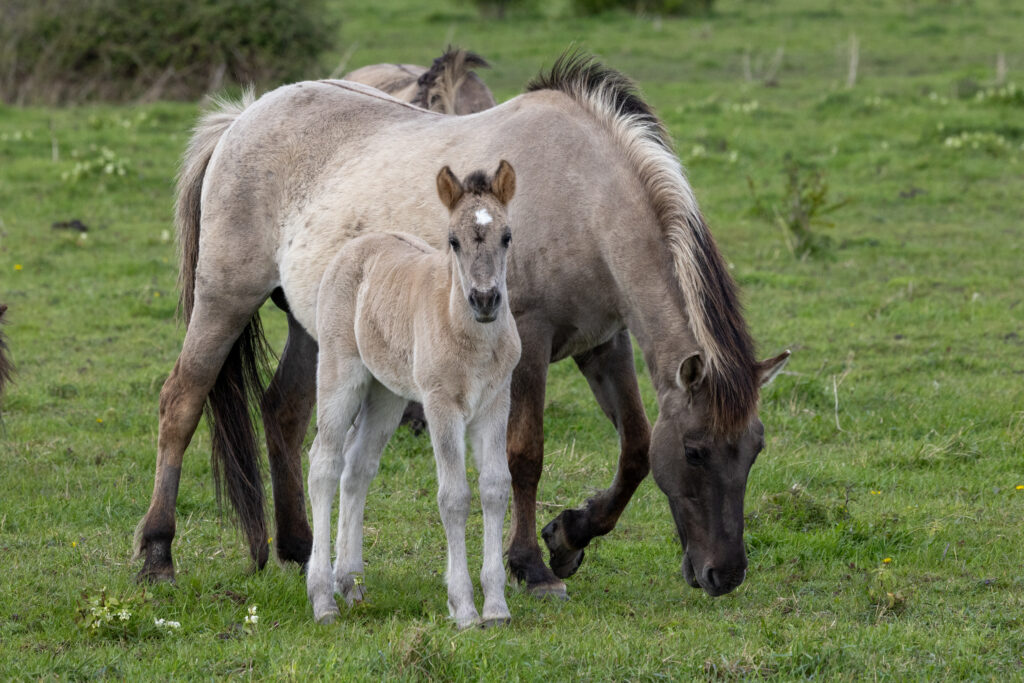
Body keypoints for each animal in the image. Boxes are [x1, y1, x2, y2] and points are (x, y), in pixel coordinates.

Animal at [307, 162, 520, 626]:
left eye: (507, 236)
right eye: (453, 240)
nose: (485, 299)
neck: (471, 339)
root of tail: (358, 244)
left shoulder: (496, 402)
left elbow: (496, 487)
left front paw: (497, 606)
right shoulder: (441, 404)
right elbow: (454, 497)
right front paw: (464, 608)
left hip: (387, 393)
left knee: (358, 465)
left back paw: (350, 581)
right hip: (340, 373)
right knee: (324, 463)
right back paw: (322, 598)